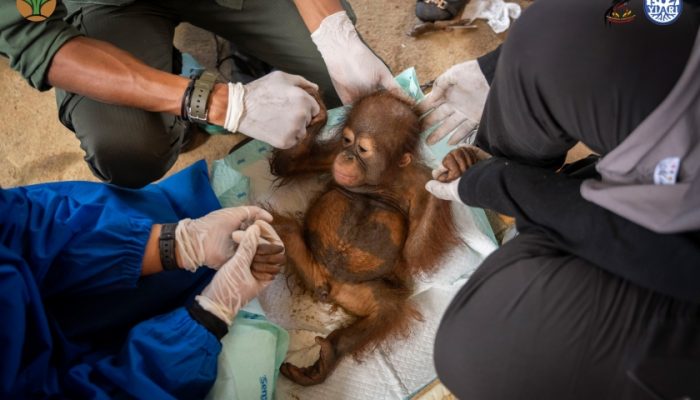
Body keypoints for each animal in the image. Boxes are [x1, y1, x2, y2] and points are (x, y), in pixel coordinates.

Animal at [268, 90, 461, 386]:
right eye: (347, 141)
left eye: (363, 149)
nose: (347, 156)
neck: (381, 180)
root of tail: (327, 285)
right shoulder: (332, 155)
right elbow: (289, 165)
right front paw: (317, 116)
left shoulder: (419, 183)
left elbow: (414, 253)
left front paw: (452, 173)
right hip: (313, 267)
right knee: (282, 230)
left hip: (355, 291)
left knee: (386, 308)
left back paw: (327, 356)